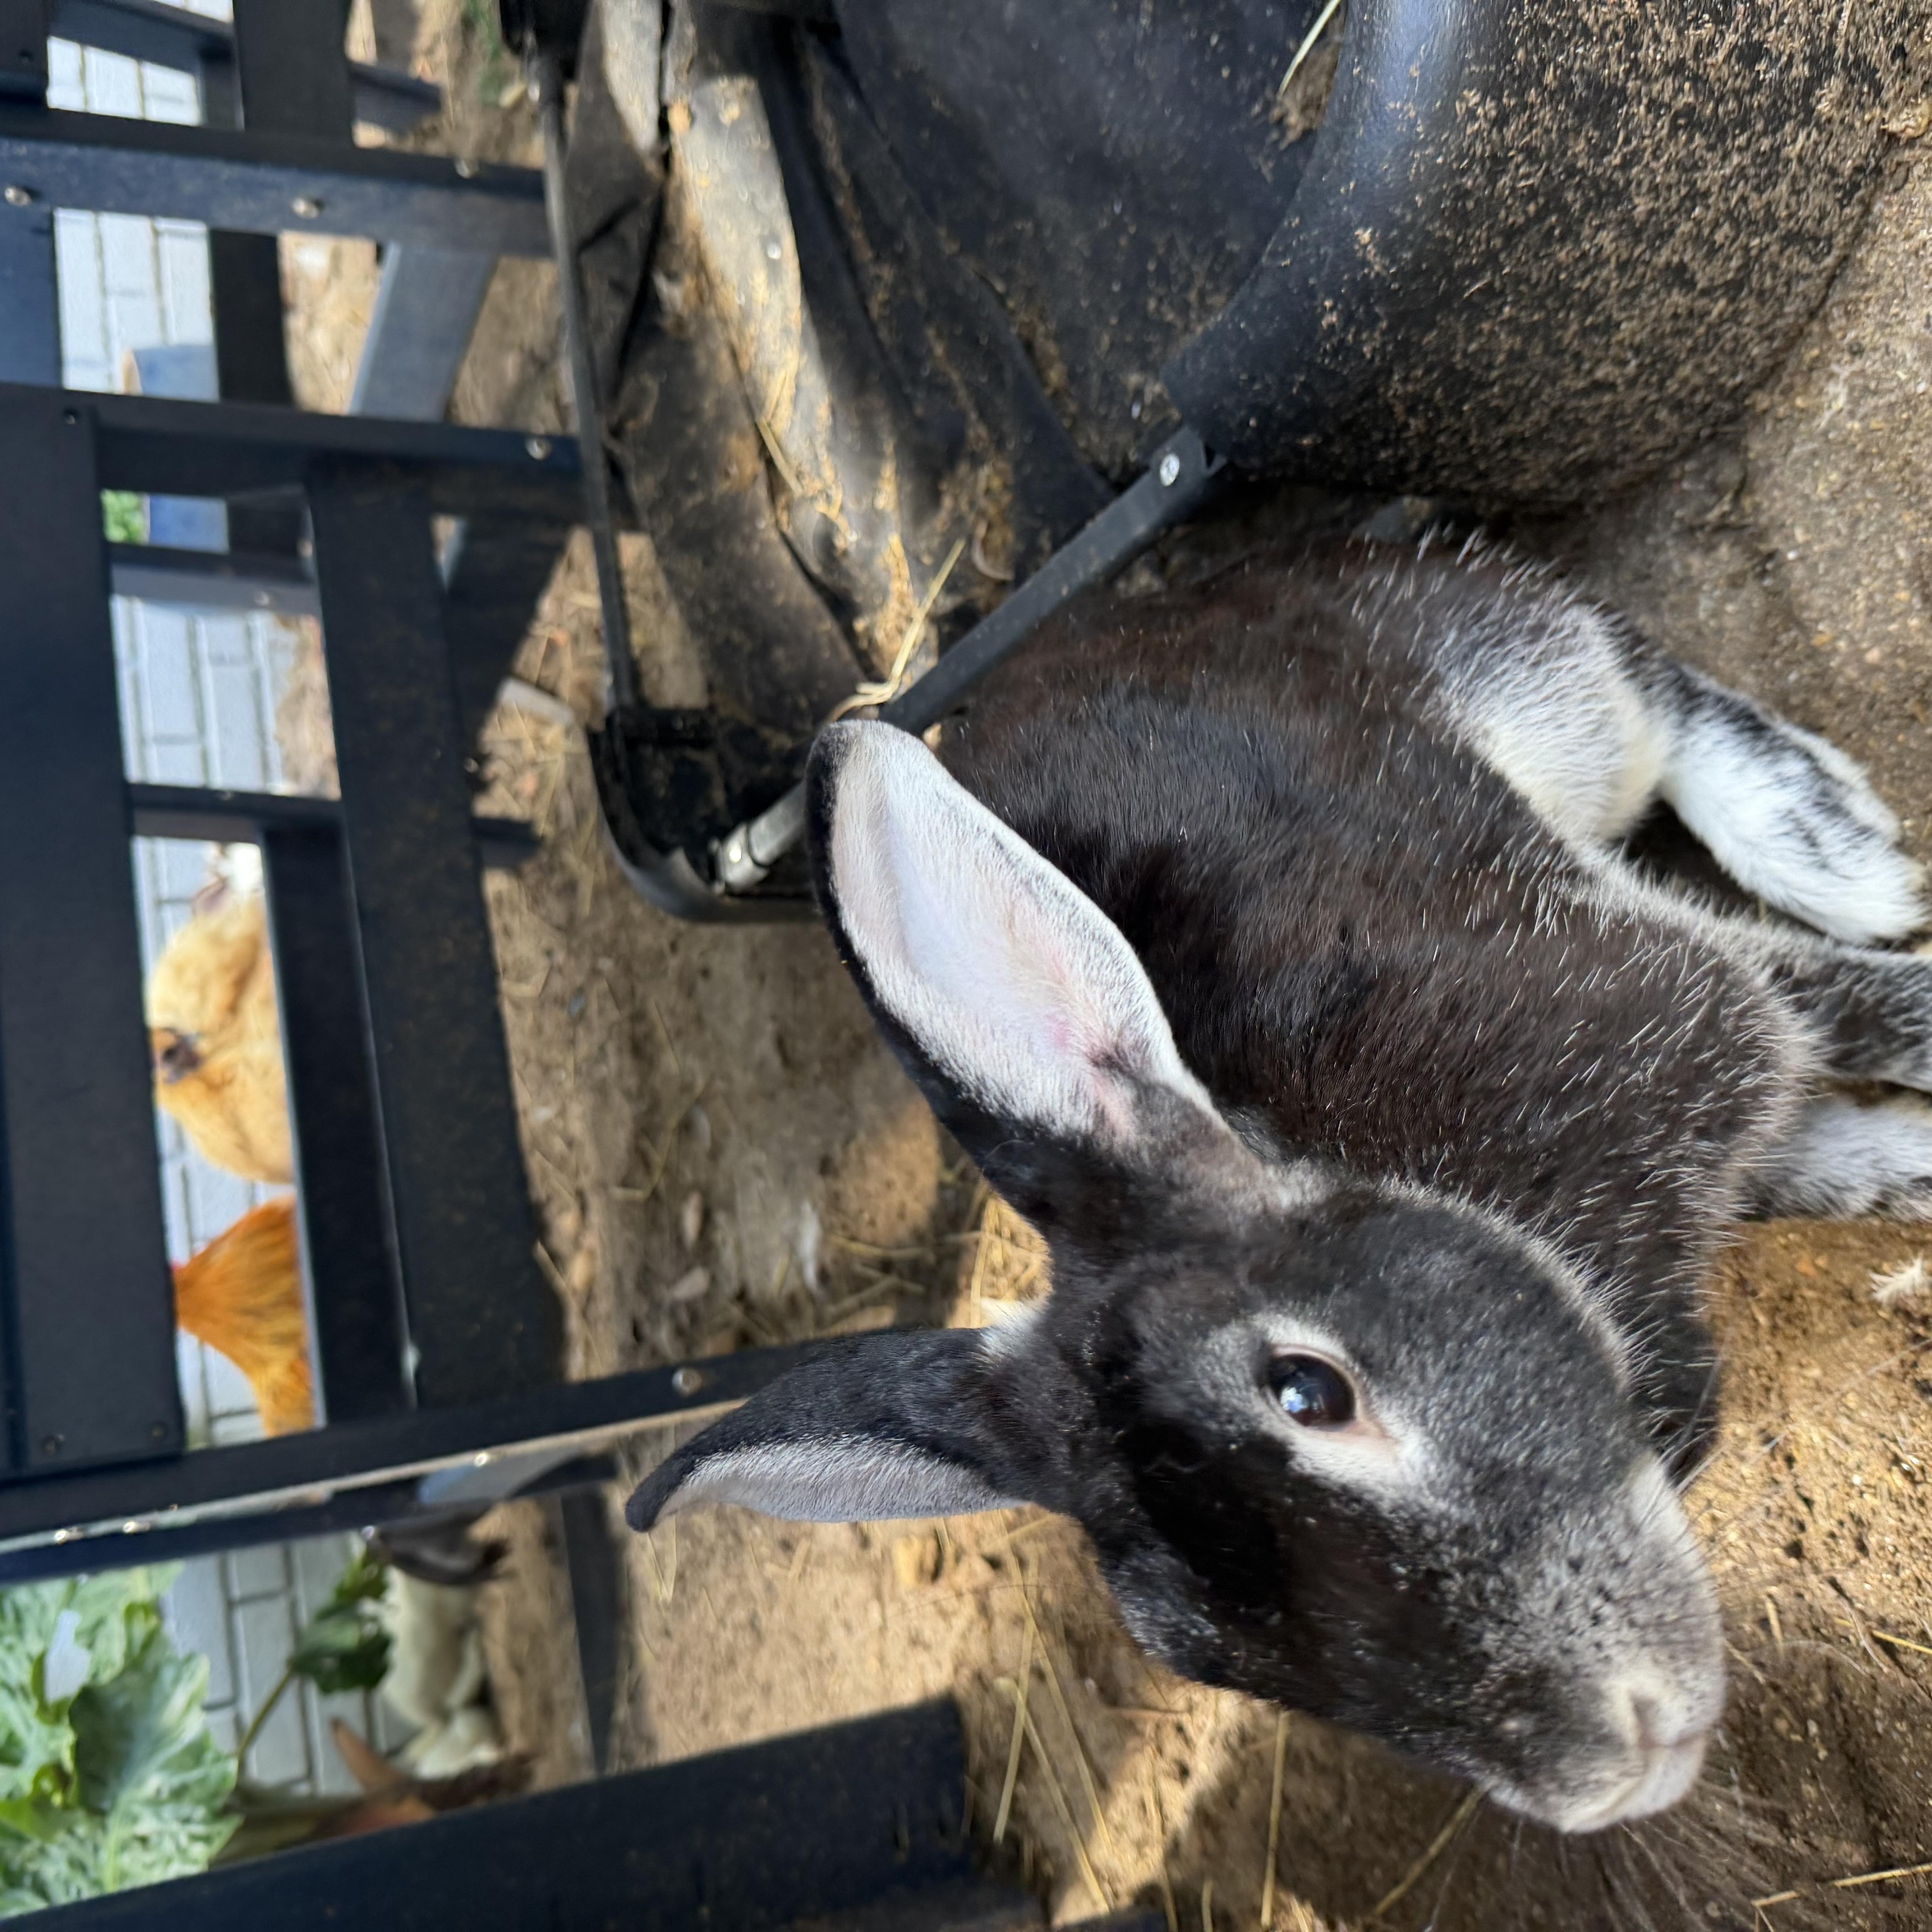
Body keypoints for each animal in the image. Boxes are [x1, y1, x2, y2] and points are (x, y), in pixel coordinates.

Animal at [627, 539, 1932, 1834]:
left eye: (1307, 1391)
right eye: (1207, 1651)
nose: (1617, 1764)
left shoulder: (1694, 991)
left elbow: (1864, 1012)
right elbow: (1841, 1163)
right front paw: (1911, 1166)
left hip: (1534, 702)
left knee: (1639, 677)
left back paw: (1840, 851)